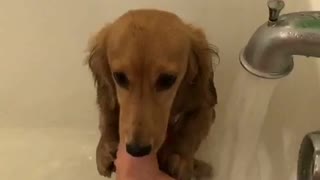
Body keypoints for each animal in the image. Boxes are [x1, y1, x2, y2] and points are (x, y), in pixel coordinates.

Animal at [86, 8, 219, 180]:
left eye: (168, 79)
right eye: (119, 77)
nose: (136, 150)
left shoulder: (204, 106)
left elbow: (191, 129)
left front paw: (178, 155)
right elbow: (108, 113)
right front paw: (104, 147)